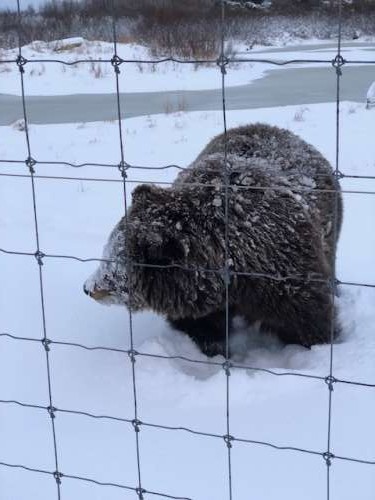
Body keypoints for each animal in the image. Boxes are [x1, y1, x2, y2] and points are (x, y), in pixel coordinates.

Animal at [85, 123, 344, 358]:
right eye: (107, 249)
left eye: (116, 262)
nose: (89, 287)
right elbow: (201, 327)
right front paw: (216, 349)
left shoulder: (285, 277)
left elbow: (308, 322)